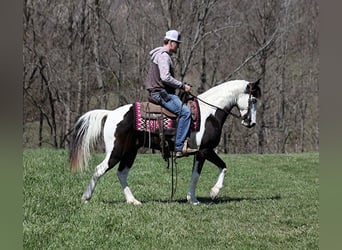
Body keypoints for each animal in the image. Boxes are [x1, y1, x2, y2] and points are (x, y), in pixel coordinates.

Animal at [70, 79, 262, 204]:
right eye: (253, 99)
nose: (251, 123)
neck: (210, 113)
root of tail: (110, 113)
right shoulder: (204, 150)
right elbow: (201, 173)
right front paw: (200, 197)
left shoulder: (203, 152)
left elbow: (218, 167)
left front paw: (205, 194)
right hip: (116, 151)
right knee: (99, 169)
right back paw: (86, 198)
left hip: (130, 151)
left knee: (121, 173)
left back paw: (133, 201)